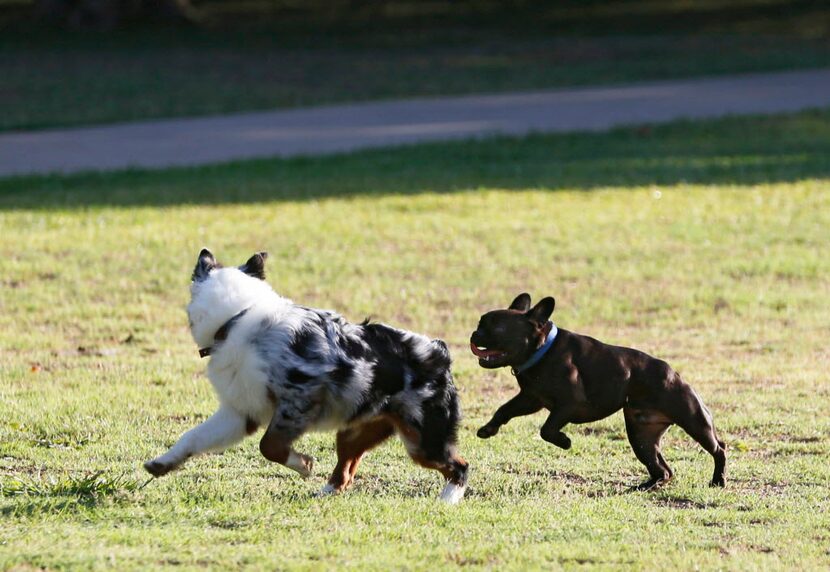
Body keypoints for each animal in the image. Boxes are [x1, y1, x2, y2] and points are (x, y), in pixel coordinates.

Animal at [143, 248, 468, 502]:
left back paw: (447, 501)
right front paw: (162, 463)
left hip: (423, 440)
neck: (237, 318)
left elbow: (269, 446)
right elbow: (194, 437)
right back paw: (324, 493)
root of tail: (439, 351)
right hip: (353, 432)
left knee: (460, 466)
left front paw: (303, 464)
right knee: (346, 471)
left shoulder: (298, 398)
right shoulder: (240, 411)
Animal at [474, 292, 728, 490]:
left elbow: (547, 429)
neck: (542, 349)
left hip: (694, 420)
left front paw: (564, 442)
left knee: (718, 448)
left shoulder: (568, 404)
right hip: (641, 437)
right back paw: (645, 486)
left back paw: (718, 480)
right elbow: (504, 409)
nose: (474, 333)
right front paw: (488, 429)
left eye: (498, 327)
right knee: (662, 469)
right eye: (480, 322)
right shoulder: (530, 399)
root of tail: (674, 373)